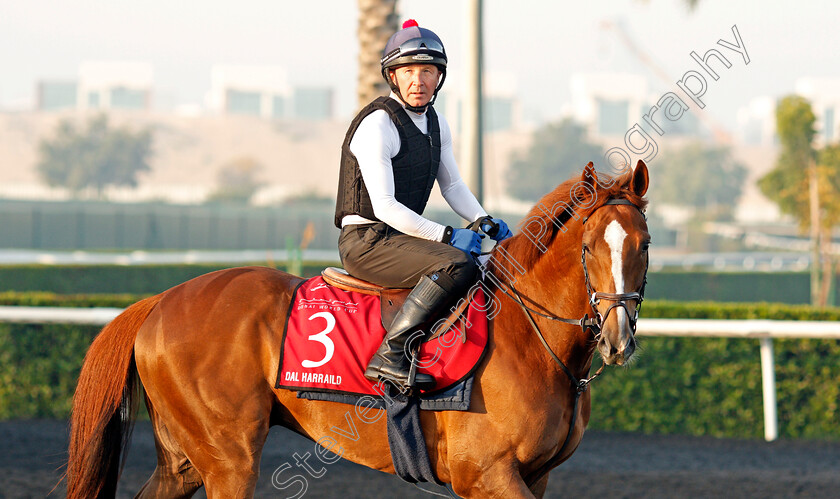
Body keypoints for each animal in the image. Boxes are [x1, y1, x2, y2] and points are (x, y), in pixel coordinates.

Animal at [67, 162, 648, 498]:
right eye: (589, 247)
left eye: (643, 245)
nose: (619, 338)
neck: (533, 342)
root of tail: (160, 301)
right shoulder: (487, 475)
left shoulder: (535, 475)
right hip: (228, 459)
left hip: (186, 462)